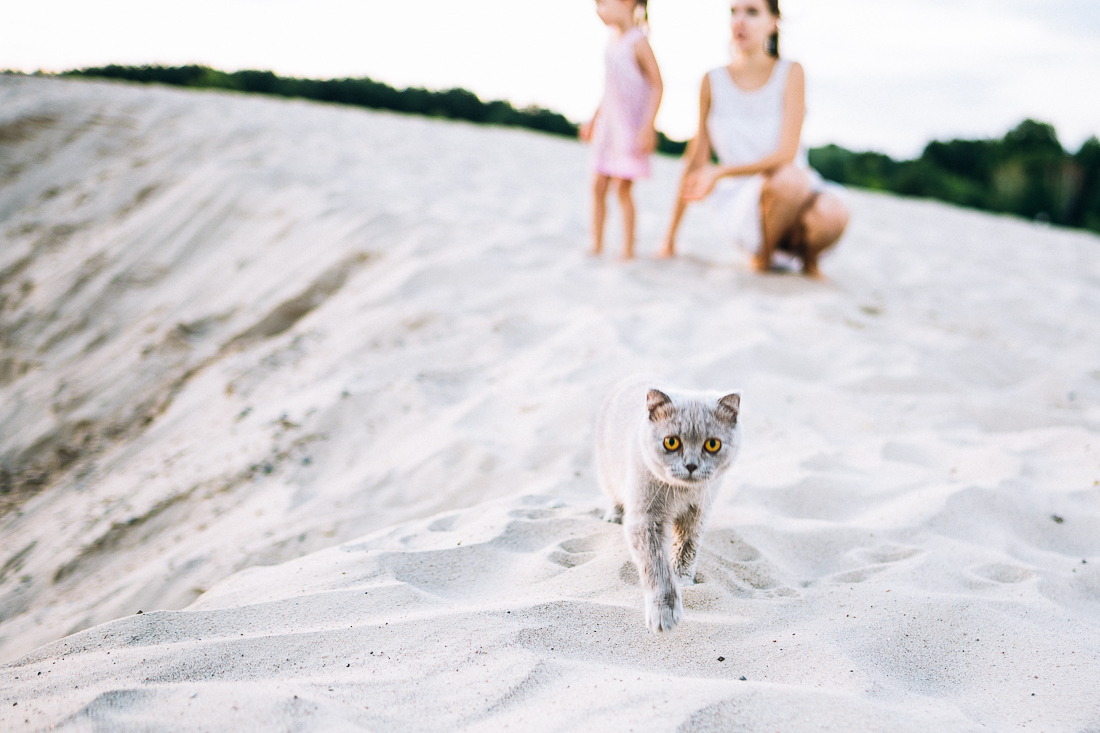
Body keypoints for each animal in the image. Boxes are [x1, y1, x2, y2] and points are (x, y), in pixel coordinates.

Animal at [598, 374, 743, 629]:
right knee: (614, 495)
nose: (691, 465)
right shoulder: (645, 518)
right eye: (671, 442)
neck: (681, 493)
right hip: (608, 472)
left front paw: (683, 581)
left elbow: (687, 550)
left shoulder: (698, 514)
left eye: (712, 444)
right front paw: (664, 615)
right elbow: (657, 567)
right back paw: (613, 516)